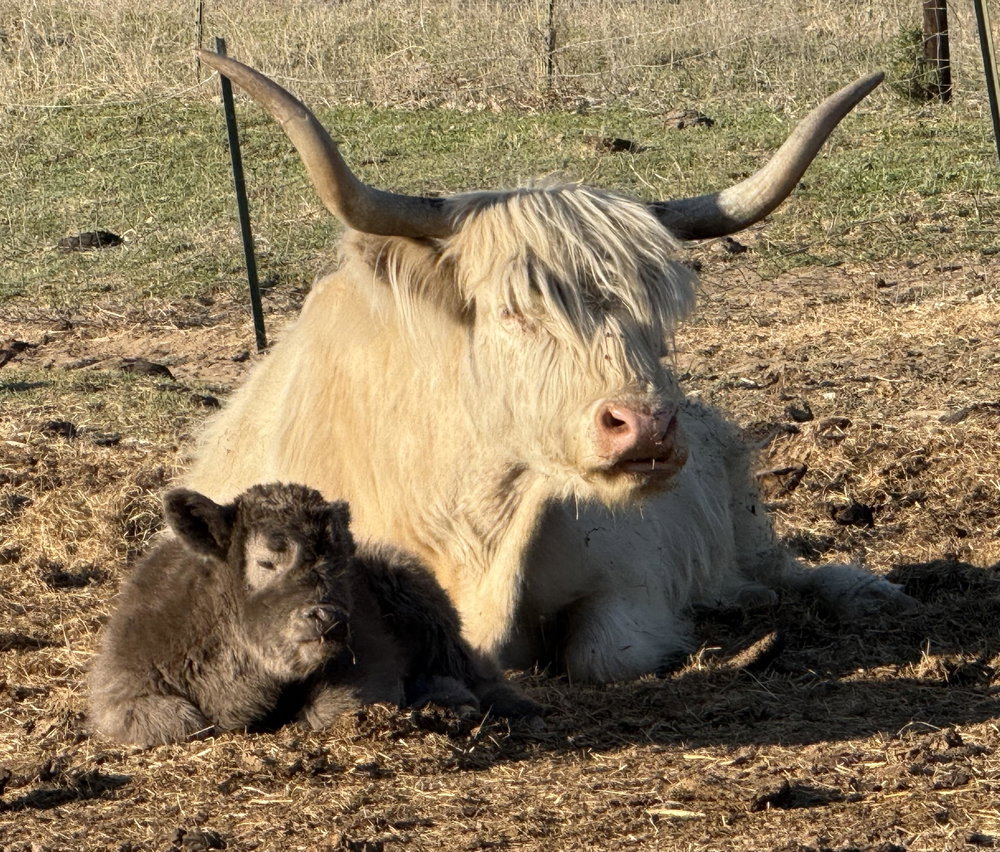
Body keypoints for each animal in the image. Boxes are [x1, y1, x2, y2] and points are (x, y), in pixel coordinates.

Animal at [89, 483, 537, 747]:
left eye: (343, 562)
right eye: (266, 561)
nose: (329, 617)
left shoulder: (369, 666)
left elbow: (331, 709)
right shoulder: (119, 690)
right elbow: (181, 721)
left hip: (421, 597)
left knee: (475, 673)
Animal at [186, 52, 913, 683]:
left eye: (659, 311)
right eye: (513, 311)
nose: (646, 427)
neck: (470, 531)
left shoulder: (633, 571)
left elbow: (603, 652)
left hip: (744, 513)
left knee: (780, 568)